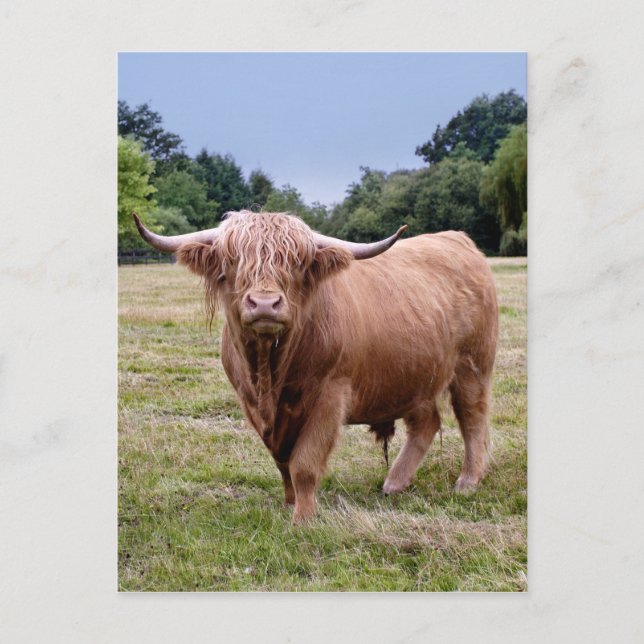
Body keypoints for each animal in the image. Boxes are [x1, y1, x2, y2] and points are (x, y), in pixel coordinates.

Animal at [134, 210, 498, 524]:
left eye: (296, 263)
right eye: (232, 260)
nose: (264, 304)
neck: (271, 375)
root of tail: (458, 239)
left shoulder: (330, 396)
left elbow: (304, 463)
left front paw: (303, 518)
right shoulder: (251, 403)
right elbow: (282, 462)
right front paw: (289, 502)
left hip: (472, 366)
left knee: (472, 418)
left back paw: (467, 481)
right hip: (414, 374)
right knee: (426, 423)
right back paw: (395, 482)